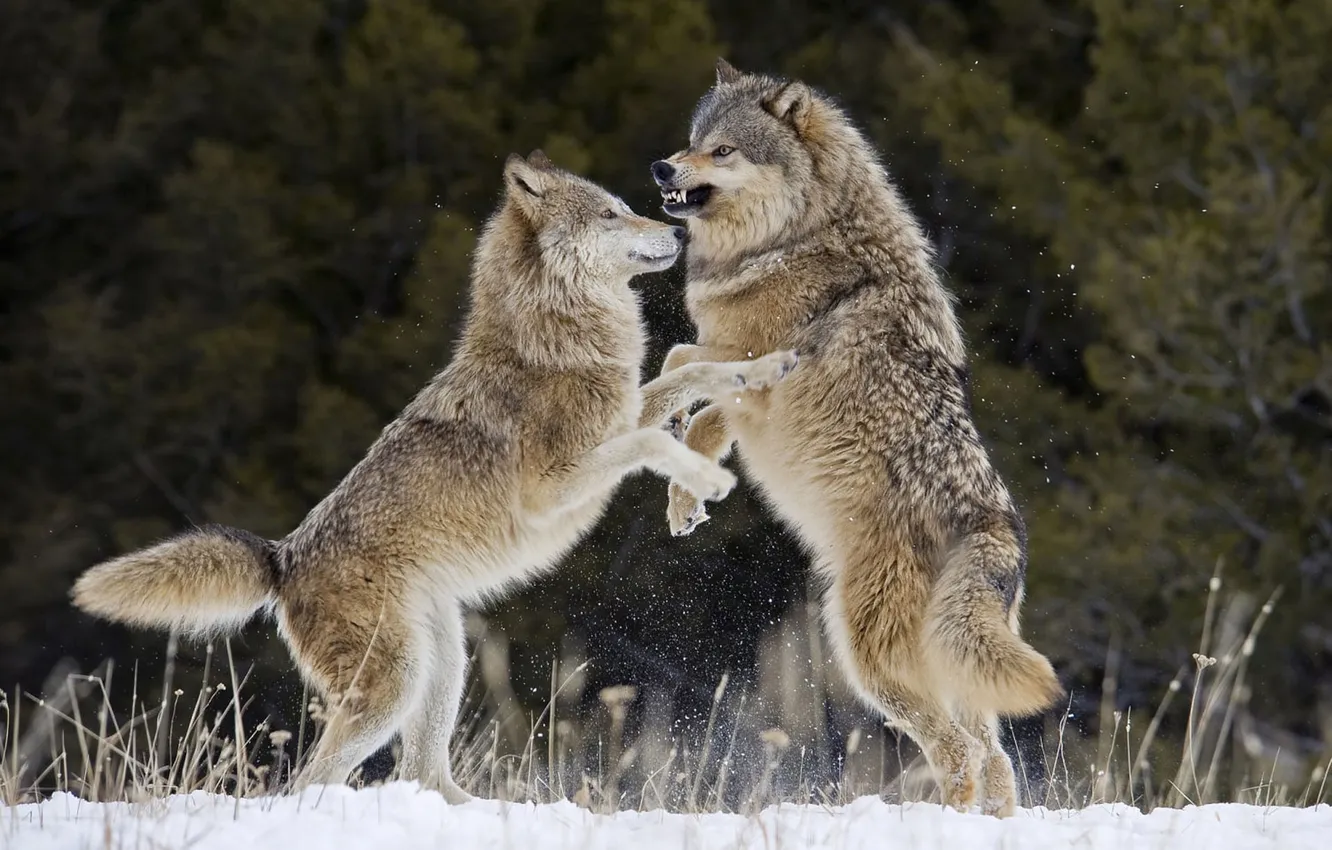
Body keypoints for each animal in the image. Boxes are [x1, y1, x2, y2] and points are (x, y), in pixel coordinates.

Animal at [72, 151, 799, 802]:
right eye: (611, 213)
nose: (679, 233)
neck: (556, 337)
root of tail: (283, 559)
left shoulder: (621, 417)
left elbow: (692, 373)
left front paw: (764, 369)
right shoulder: (557, 485)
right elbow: (655, 432)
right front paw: (709, 481)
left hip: (444, 663)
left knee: (422, 772)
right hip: (394, 685)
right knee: (312, 782)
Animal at [648, 59, 1063, 817]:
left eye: (723, 150)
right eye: (693, 141)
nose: (662, 167)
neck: (792, 239)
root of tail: (995, 525)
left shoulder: (754, 370)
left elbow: (686, 375)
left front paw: (683, 480)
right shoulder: (734, 369)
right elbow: (683, 375)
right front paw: (681, 472)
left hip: (865, 655)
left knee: (958, 753)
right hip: (951, 673)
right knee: (993, 758)